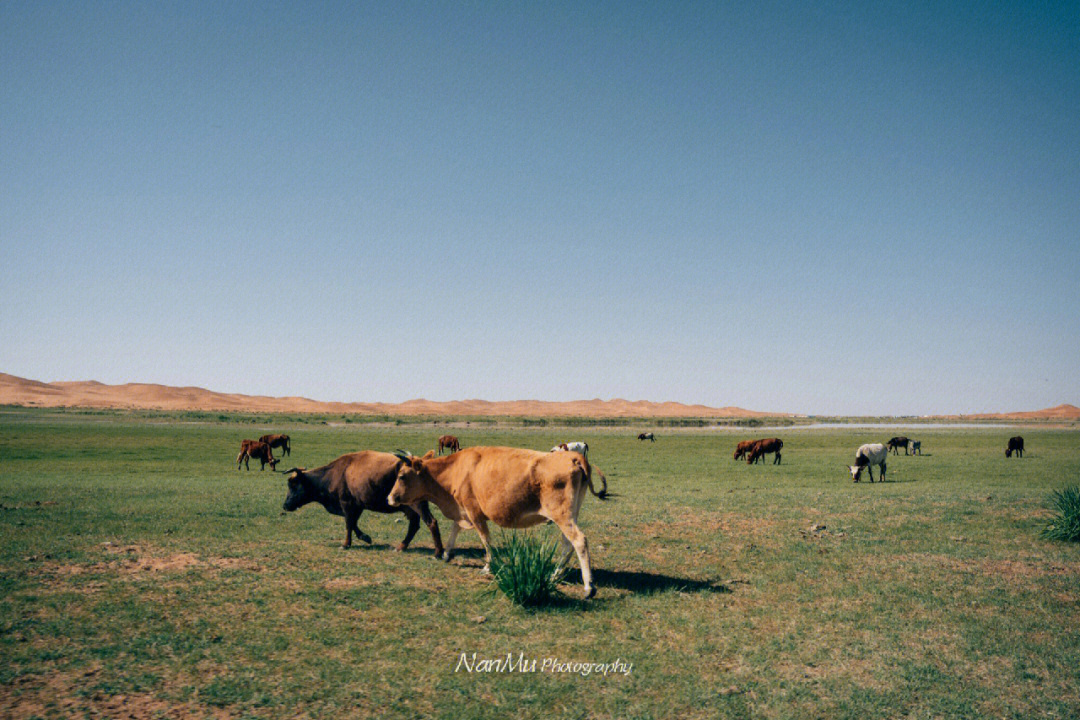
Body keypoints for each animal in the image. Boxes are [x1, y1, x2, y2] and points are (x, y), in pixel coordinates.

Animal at [282, 451, 447, 557]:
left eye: (294, 484)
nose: (285, 505)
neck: (334, 473)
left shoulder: (346, 504)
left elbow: (348, 524)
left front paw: (345, 544)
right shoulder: (357, 506)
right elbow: (353, 523)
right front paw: (366, 537)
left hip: (417, 505)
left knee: (430, 522)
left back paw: (438, 552)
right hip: (410, 507)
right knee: (414, 525)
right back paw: (401, 547)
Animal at [386, 446, 609, 600]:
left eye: (402, 476)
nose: (389, 498)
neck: (454, 469)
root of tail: (573, 456)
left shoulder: (474, 511)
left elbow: (485, 539)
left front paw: (488, 566)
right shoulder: (462, 509)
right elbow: (455, 530)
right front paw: (447, 553)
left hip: (562, 515)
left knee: (579, 541)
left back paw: (589, 587)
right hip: (570, 514)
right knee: (567, 544)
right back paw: (555, 575)